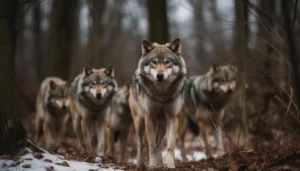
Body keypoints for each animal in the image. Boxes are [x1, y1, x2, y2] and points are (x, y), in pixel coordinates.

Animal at [129, 38, 188, 168]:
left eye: (167, 62)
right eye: (154, 62)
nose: (160, 75)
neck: (162, 94)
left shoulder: (172, 118)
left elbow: (170, 146)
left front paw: (169, 165)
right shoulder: (150, 117)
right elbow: (151, 146)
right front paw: (152, 165)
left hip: (162, 125)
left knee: (159, 143)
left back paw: (160, 163)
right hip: (140, 122)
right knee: (140, 144)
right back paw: (140, 164)